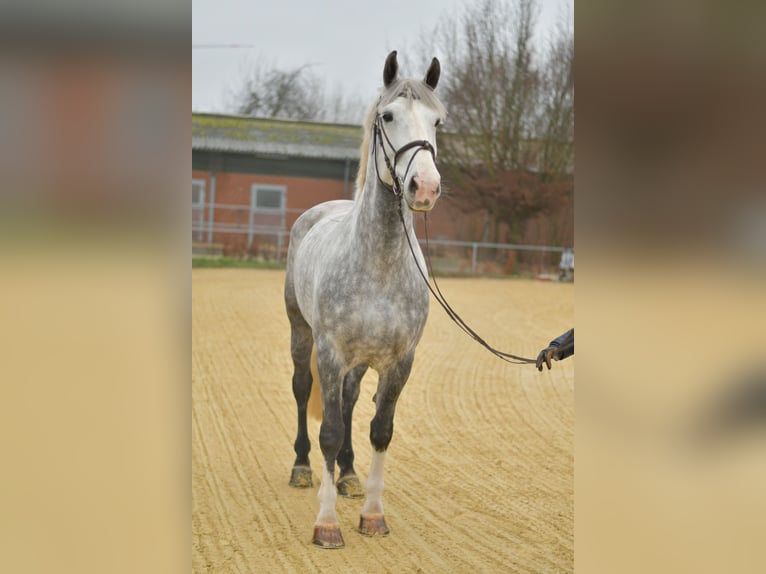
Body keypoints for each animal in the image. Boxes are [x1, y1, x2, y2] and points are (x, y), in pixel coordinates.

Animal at [284, 50, 446, 549]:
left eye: (438, 121)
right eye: (388, 116)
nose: (424, 187)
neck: (380, 265)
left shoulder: (400, 361)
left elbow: (380, 430)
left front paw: (372, 515)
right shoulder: (331, 354)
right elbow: (331, 431)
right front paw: (327, 524)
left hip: (359, 363)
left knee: (352, 400)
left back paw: (351, 476)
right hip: (301, 335)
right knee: (303, 391)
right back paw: (301, 468)